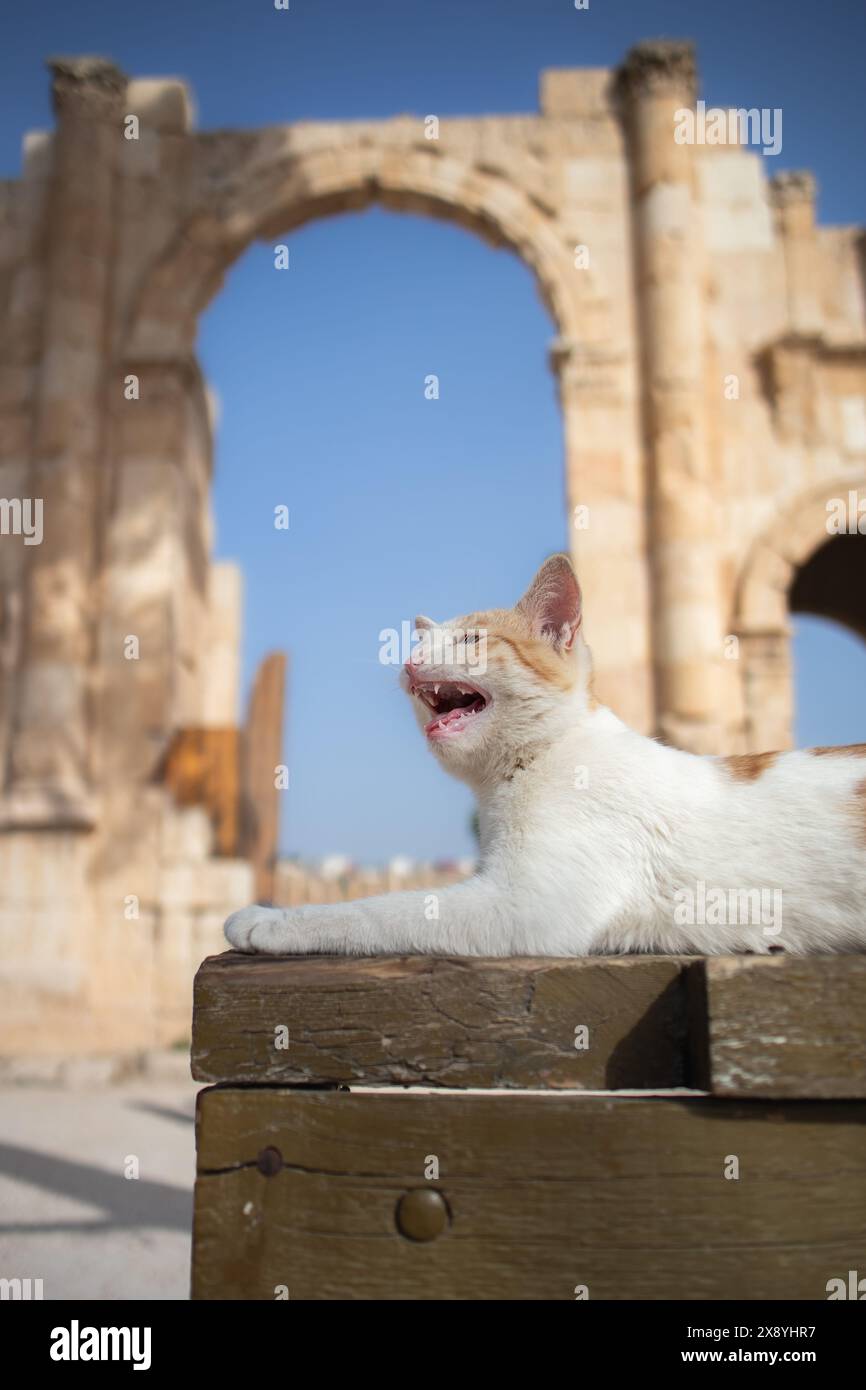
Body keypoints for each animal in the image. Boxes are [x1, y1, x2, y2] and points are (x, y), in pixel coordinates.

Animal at [225, 553, 866, 956]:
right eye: (419, 643)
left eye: (470, 640)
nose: (407, 662)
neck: (533, 764)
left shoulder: (525, 907)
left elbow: (377, 910)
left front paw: (268, 920)